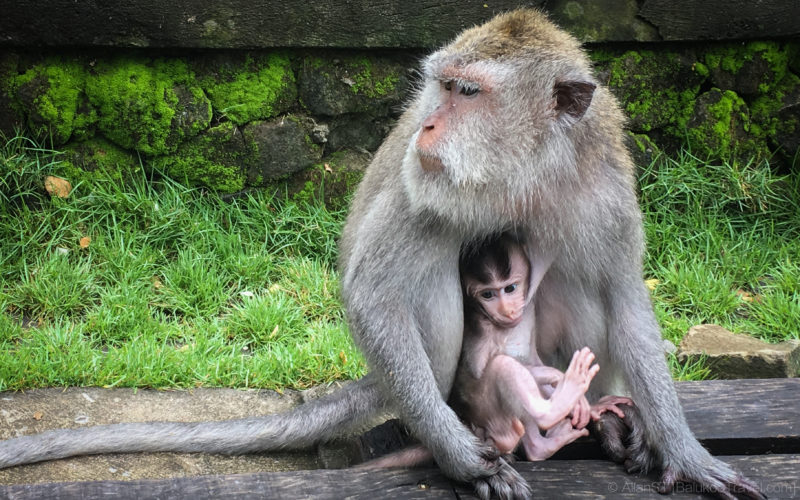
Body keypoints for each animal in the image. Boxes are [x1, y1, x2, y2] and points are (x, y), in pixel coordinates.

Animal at [0, 9, 765, 500]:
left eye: (468, 92)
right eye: (443, 87)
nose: (426, 124)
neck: (522, 170)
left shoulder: (604, 183)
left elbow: (624, 295)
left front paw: (685, 452)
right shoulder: (420, 179)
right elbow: (375, 291)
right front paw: (459, 457)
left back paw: (601, 421)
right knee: (427, 284)